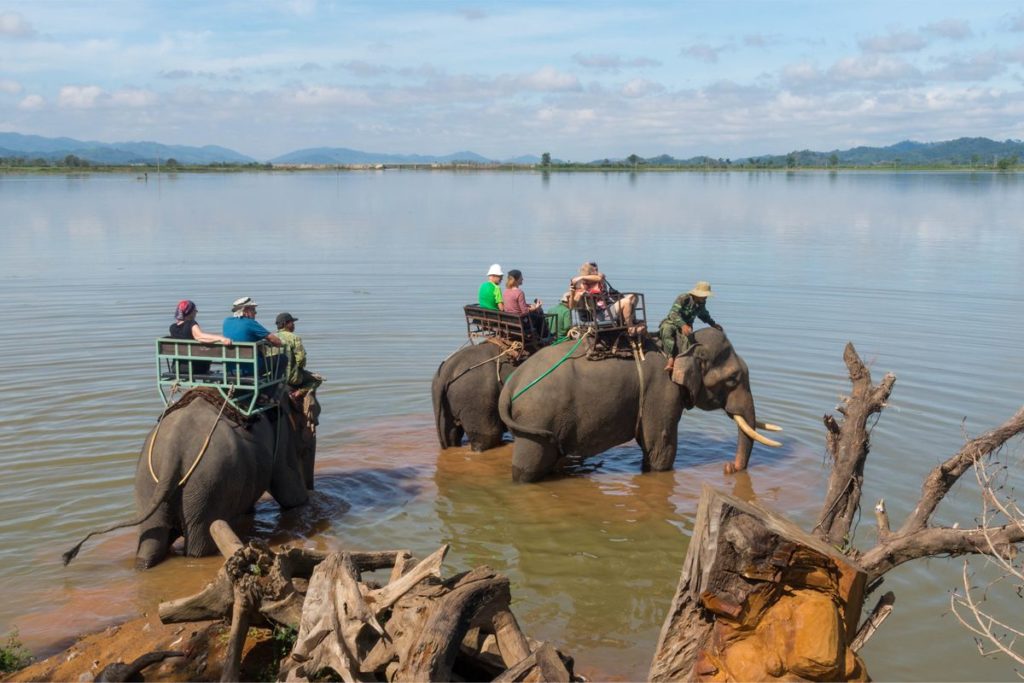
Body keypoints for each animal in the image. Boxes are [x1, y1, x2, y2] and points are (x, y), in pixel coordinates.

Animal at [62, 387, 315, 569]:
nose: (312, 488)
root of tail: (173, 448)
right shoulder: (281, 435)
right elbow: (288, 491)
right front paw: (304, 502)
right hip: (207, 484)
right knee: (197, 546)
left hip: (149, 483)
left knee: (151, 543)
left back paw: (144, 564)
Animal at [493, 327, 774, 483]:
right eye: (733, 378)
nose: (729, 468)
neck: (681, 345)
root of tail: (512, 383)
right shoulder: (662, 392)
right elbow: (661, 446)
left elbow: (649, 446)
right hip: (535, 421)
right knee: (527, 469)